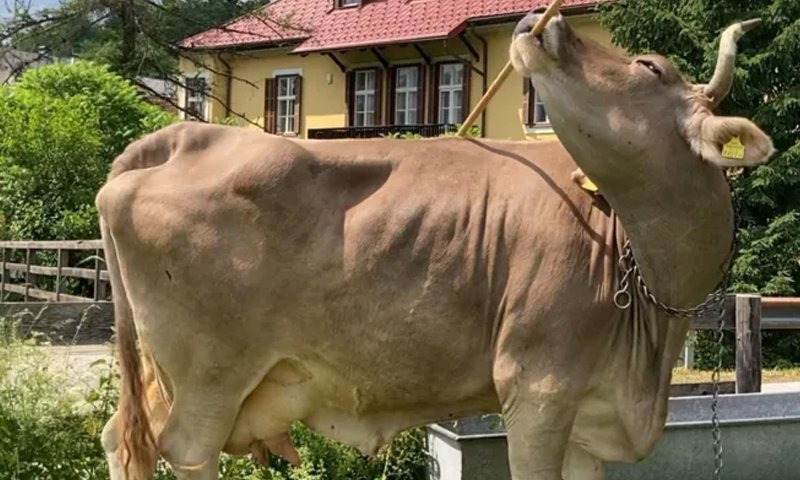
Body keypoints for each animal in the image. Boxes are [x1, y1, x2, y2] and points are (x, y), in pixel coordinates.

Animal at [96, 9, 774, 480]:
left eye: (649, 67)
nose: (544, 21)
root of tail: (180, 136)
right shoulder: (538, 388)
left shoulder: (591, 416)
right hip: (209, 378)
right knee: (186, 452)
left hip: (165, 375)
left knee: (123, 441)